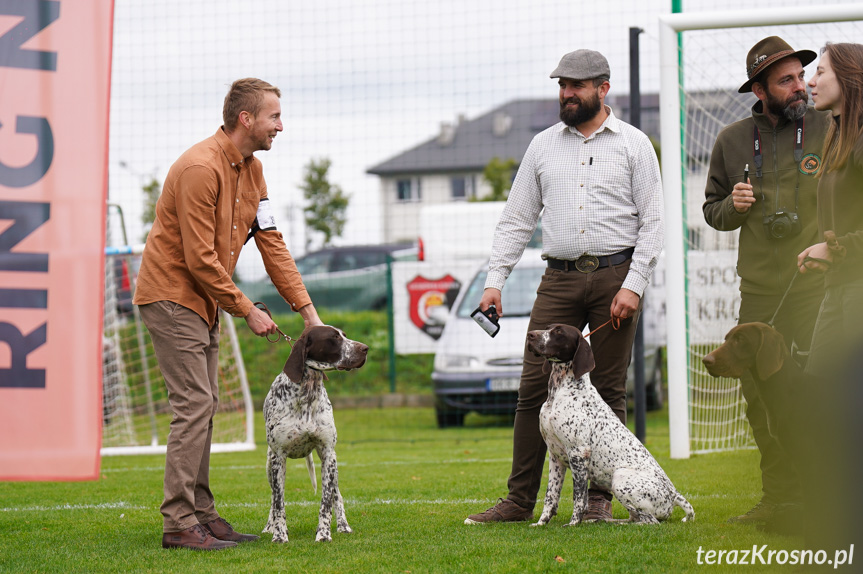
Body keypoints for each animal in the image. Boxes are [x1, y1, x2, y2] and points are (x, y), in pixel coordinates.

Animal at [264, 326, 370, 544]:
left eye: (344, 335)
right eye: (334, 337)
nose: (365, 348)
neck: (308, 392)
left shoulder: (327, 453)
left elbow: (327, 501)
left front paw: (323, 533)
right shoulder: (279, 457)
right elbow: (278, 502)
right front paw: (279, 535)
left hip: (333, 465)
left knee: (337, 495)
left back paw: (343, 525)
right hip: (270, 465)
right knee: (273, 497)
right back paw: (270, 527)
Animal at [528, 324, 696, 528]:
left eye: (559, 332)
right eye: (548, 328)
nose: (530, 335)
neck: (560, 391)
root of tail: (673, 494)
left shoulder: (578, 453)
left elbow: (579, 498)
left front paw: (573, 523)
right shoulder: (555, 456)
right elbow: (550, 496)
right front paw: (541, 523)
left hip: (620, 479)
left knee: (650, 521)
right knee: (634, 517)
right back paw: (606, 521)